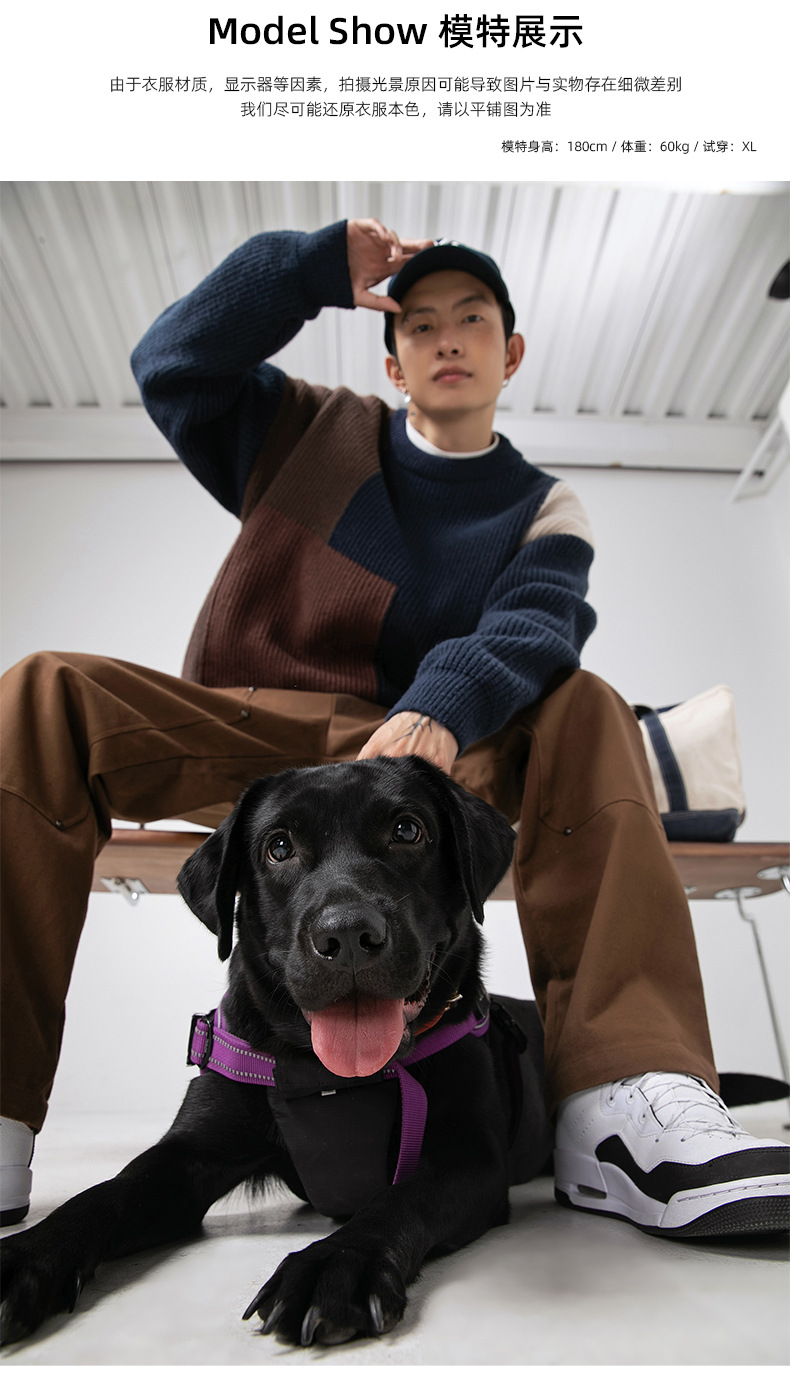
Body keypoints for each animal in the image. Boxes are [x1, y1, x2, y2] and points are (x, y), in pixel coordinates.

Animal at [0, 756, 552, 1347]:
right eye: (279, 847)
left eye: (408, 831)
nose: (347, 935)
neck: (335, 1078)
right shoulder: (190, 1152)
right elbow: (109, 1192)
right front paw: (26, 1255)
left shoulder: (471, 1156)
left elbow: (402, 1197)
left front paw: (339, 1264)